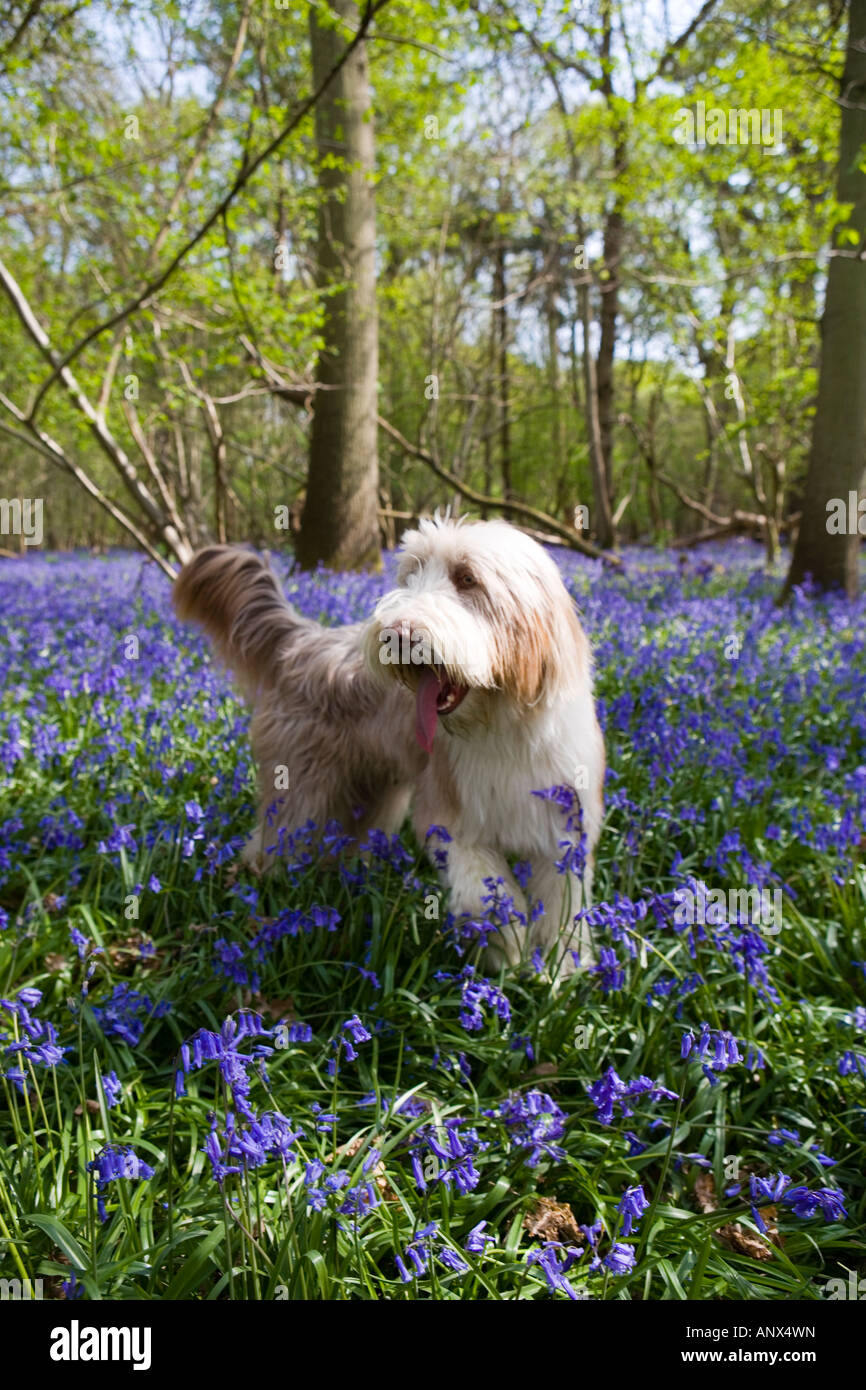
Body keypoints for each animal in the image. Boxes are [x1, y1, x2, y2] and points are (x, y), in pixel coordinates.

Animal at [173, 517, 606, 973]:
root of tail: (302, 641)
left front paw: (562, 965)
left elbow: (562, 901)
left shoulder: (562, 829)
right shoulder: (452, 818)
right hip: (301, 788)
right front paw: (505, 947)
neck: (504, 727)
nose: (396, 634)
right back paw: (265, 888)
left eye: (467, 578)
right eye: (412, 573)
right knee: (273, 838)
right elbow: (486, 891)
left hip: (372, 794)